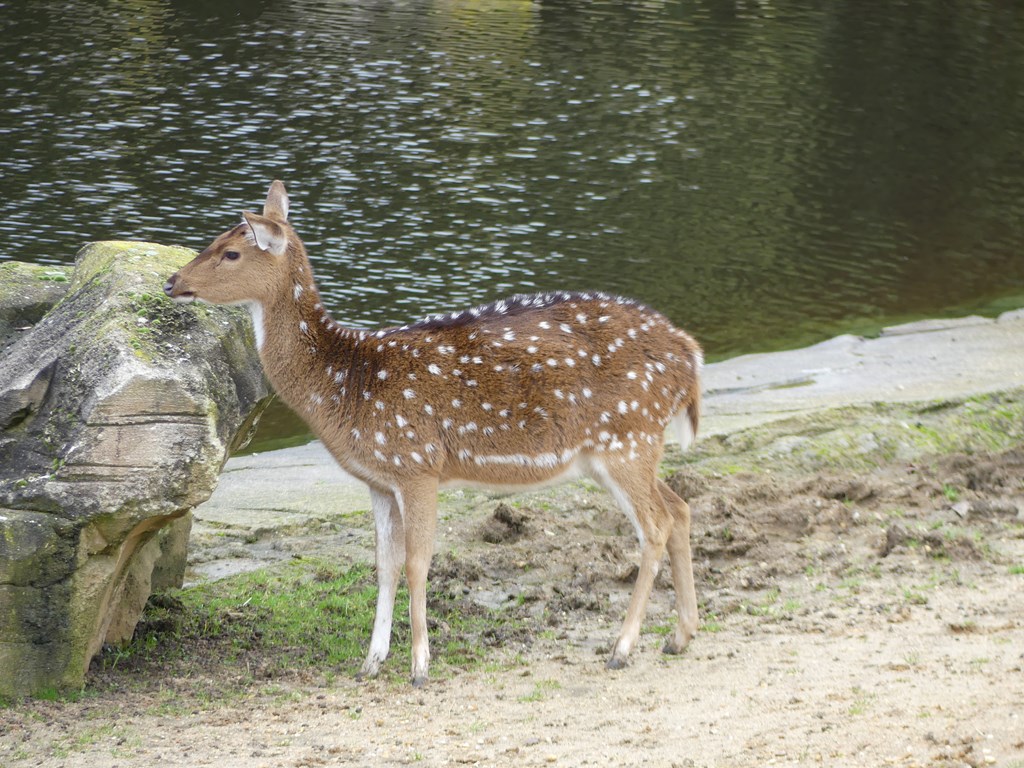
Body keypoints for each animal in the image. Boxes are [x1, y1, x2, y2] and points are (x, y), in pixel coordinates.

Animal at [164, 180, 704, 686]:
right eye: (213, 240)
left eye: (231, 251)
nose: (172, 281)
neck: (347, 387)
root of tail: (691, 356)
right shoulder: (379, 480)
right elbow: (384, 565)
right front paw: (371, 662)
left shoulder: (417, 464)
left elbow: (418, 562)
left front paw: (419, 666)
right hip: (624, 450)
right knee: (680, 507)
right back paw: (680, 636)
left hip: (628, 438)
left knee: (655, 525)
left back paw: (623, 647)